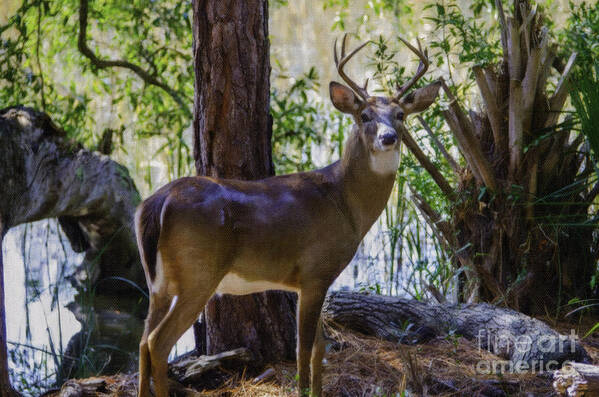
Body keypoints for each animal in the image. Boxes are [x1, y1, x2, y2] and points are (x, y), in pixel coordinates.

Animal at [137, 34, 440, 396]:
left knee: (142, 341)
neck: (344, 202)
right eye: (365, 115)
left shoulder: (315, 279)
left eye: (400, 114)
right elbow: (304, 349)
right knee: (158, 342)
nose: (388, 137)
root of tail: (158, 202)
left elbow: (320, 349)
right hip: (198, 272)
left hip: (158, 281)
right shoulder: (315, 270)